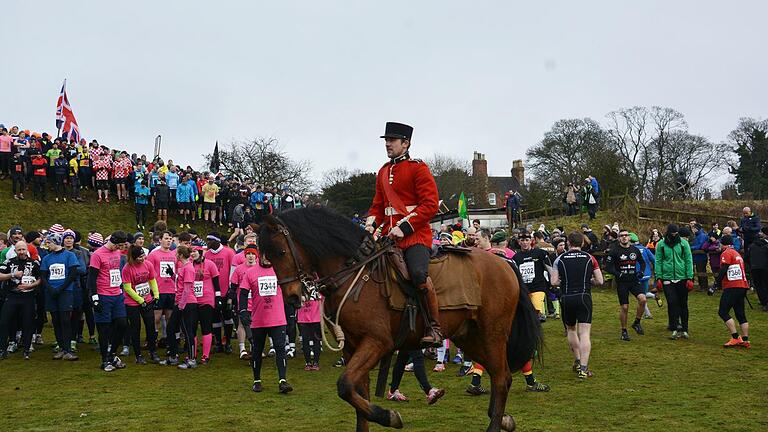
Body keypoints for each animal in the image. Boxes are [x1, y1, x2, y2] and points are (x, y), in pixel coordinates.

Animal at [256, 208, 540, 430]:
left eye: (281, 252)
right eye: (267, 256)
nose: (292, 298)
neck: (354, 273)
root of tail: (504, 264)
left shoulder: (377, 342)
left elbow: (345, 385)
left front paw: (388, 416)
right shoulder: (352, 348)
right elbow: (357, 397)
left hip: (492, 333)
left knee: (501, 378)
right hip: (469, 337)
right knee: (499, 374)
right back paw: (501, 417)